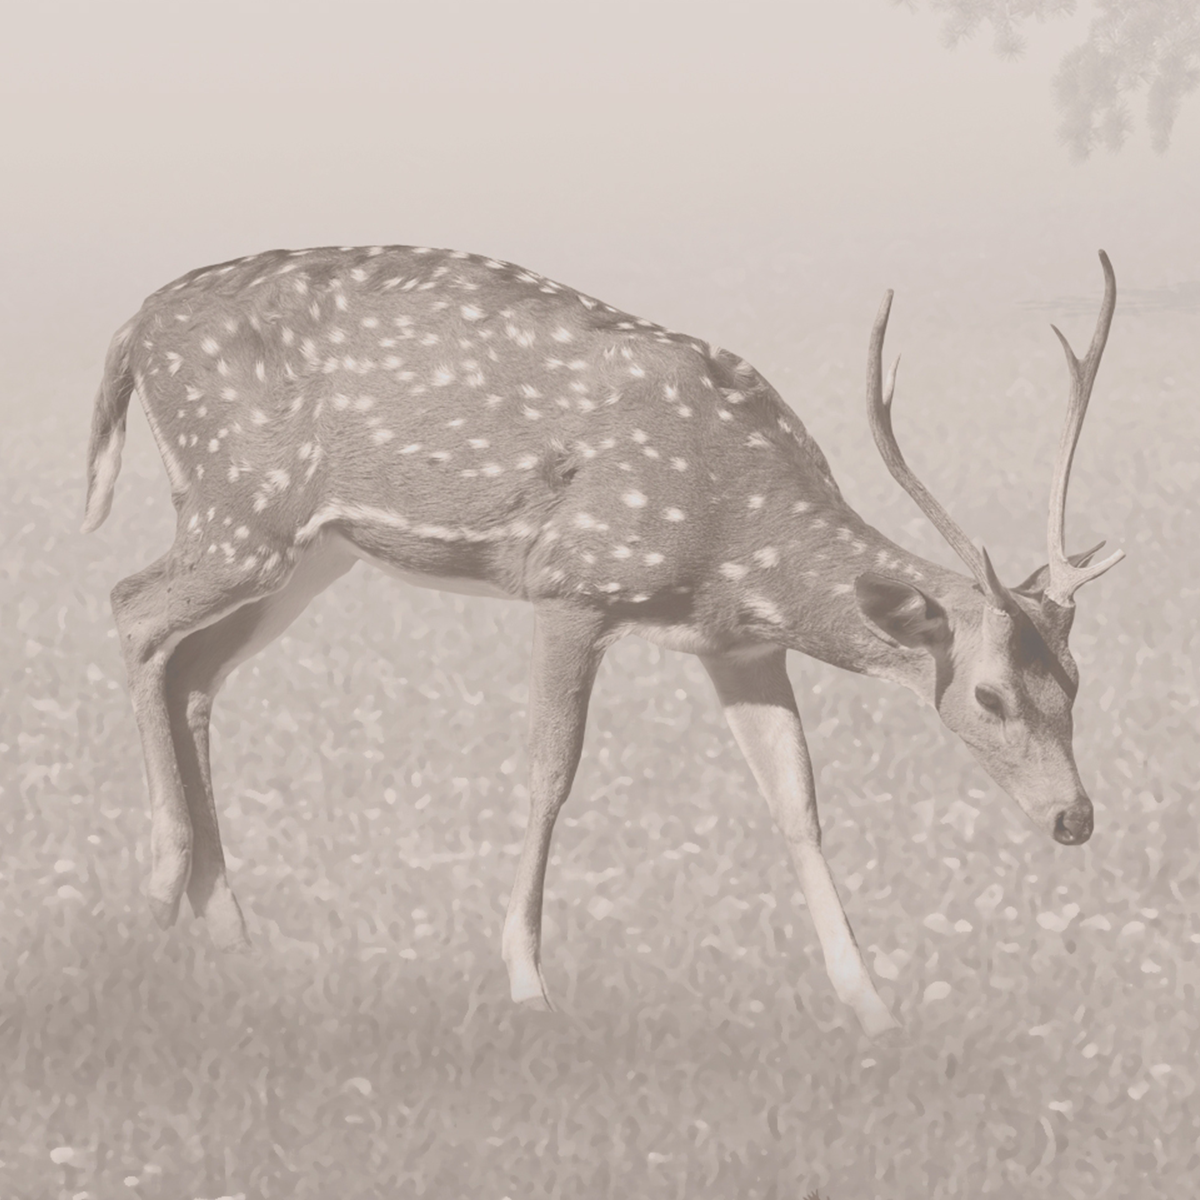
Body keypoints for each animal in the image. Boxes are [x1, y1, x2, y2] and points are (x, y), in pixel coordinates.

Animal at [81, 244, 1121, 1037]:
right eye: (988, 694)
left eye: (1077, 682)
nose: (1075, 818)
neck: (740, 539)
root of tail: (132, 325)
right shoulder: (573, 581)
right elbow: (550, 775)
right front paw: (527, 983)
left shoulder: (737, 648)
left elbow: (797, 803)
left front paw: (872, 1004)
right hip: (240, 509)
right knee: (130, 605)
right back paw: (161, 886)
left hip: (305, 552)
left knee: (194, 670)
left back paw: (227, 926)